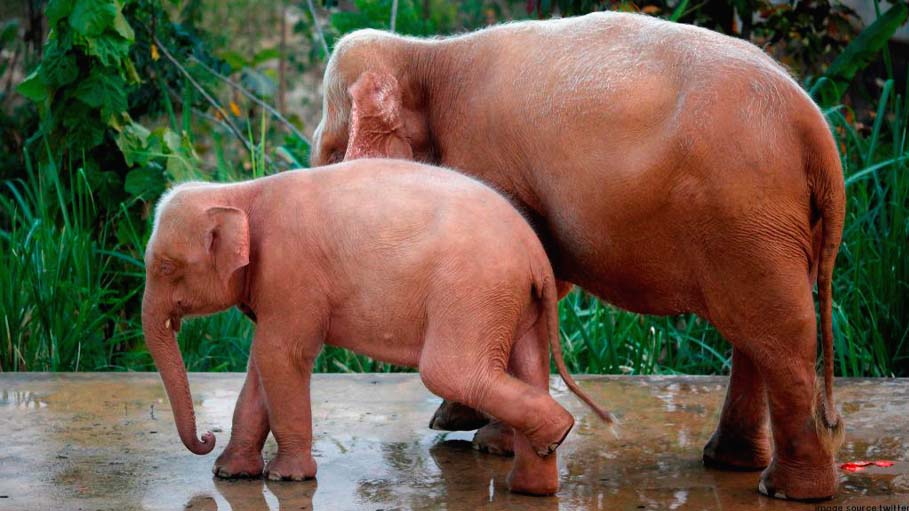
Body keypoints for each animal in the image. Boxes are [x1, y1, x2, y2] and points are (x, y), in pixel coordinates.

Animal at [308, 11, 848, 500]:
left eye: (333, 152)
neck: (426, 53)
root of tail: (816, 132)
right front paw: (461, 425)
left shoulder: (489, 163)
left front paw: (490, 446)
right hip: (764, 229)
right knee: (755, 331)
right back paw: (734, 464)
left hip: (746, 213)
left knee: (779, 336)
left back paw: (786, 491)